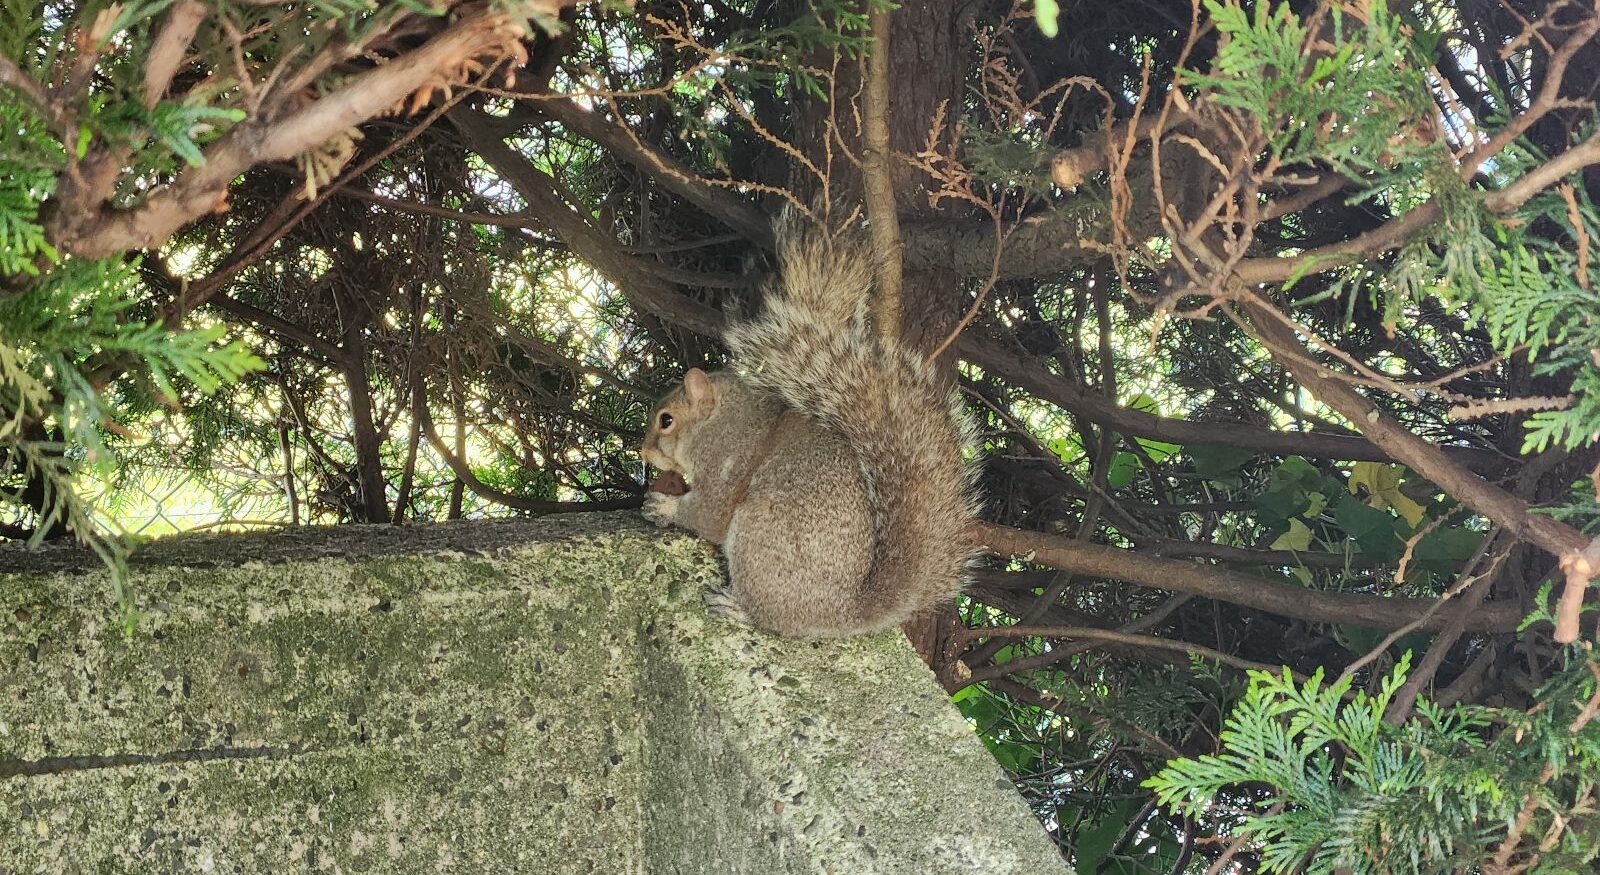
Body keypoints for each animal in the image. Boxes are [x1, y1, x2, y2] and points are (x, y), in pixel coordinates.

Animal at [639, 224, 980, 637]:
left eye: (666, 420)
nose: (642, 452)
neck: (722, 420)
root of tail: (842, 613)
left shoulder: (726, 464)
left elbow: (707, 516)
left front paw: (664, 506)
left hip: (760, 532)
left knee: (772, 619)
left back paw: (737, 607)